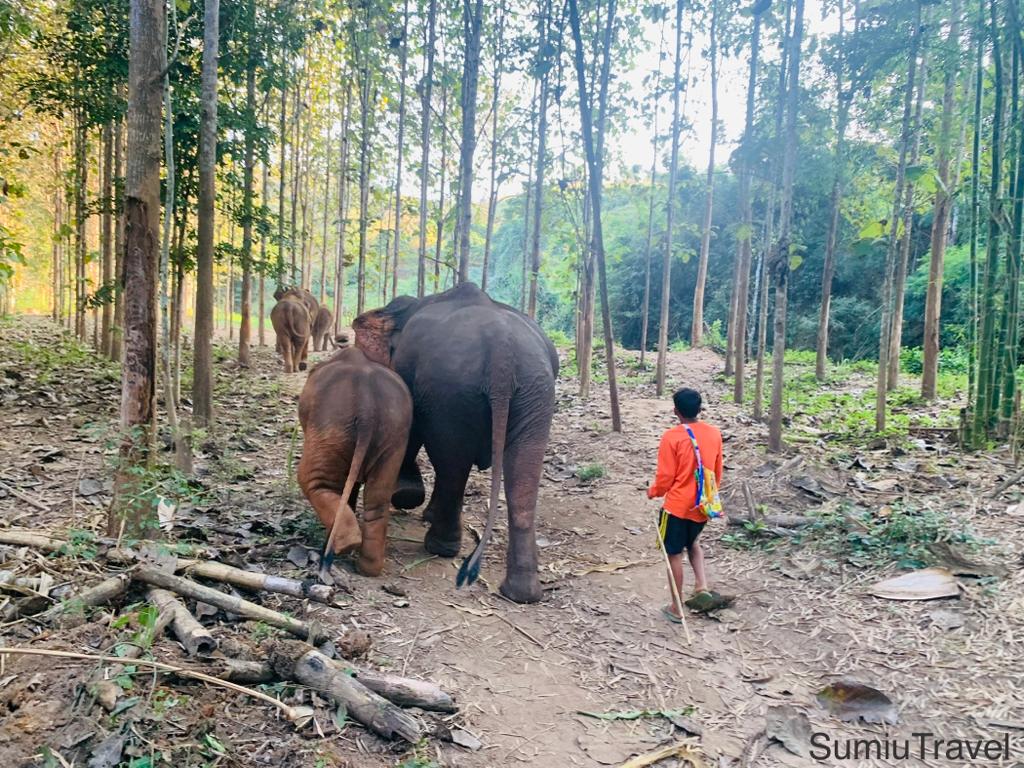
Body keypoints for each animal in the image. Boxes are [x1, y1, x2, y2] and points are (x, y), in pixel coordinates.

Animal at [298, 346, 413, 578]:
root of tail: (367, 409)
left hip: (331, 428)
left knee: (313, 482)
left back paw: (340, 547)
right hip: (393, 439)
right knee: (378, 498)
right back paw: (368, 568)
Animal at [352, 282, 558, 603]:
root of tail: (501, 353)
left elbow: (409, 424)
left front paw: (407, 495)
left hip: (450, 390)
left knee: (452, 464)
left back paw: (439, 546)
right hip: (535, 392)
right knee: (521, 476)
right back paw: (522, 592)